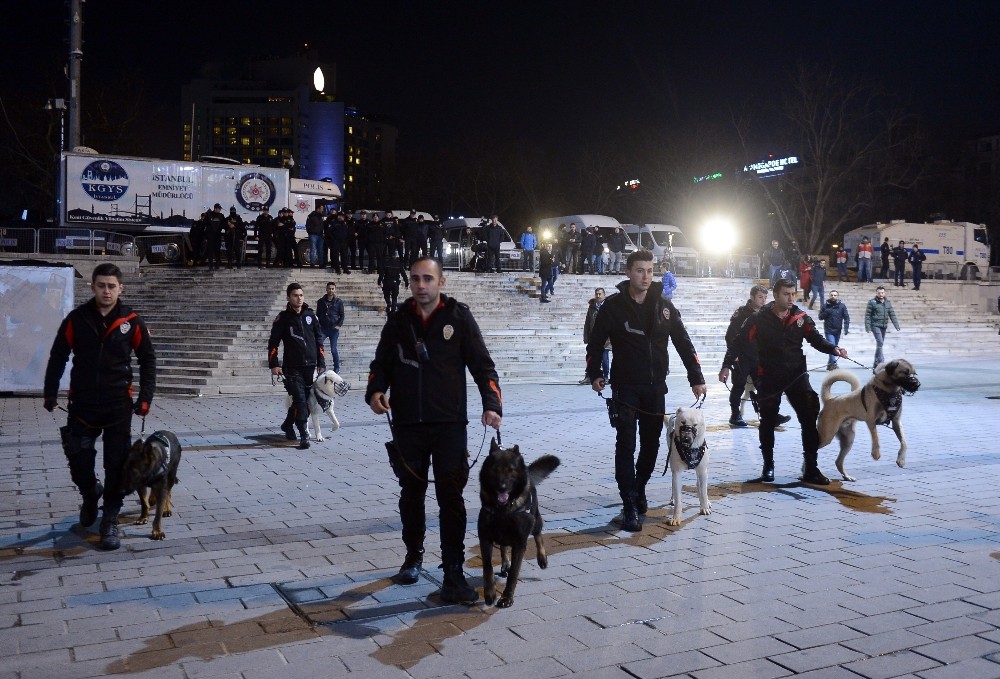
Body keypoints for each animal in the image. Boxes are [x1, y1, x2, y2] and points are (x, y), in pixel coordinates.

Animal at [478, 440, 560, 612]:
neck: (503, 510)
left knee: (538, 533)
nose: (502, 487)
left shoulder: (519, 544)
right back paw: (505, 564)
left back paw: (542, 558)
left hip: (535, 519)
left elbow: (514, 574)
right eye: (495, 470)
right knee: (503, 546)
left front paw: (506, 598)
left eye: (511, 470)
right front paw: (490, 593)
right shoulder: (485, 539)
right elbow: (487, 568)